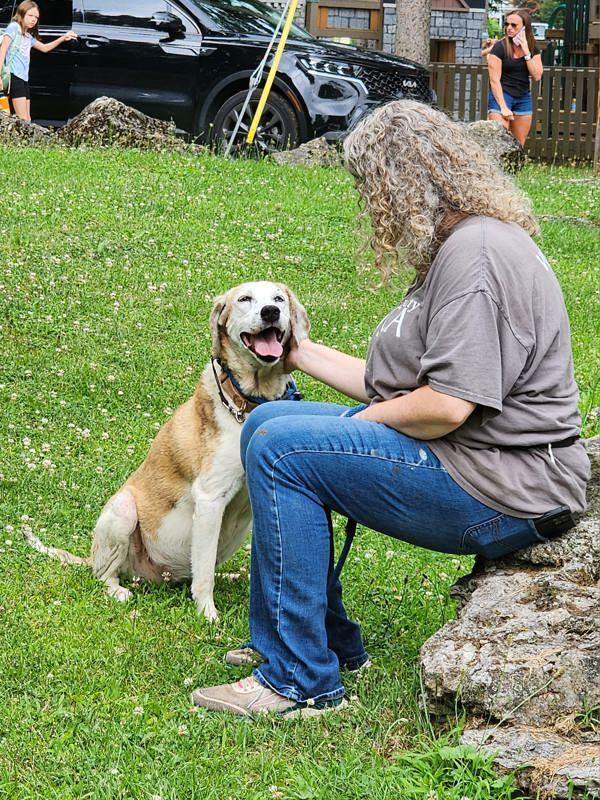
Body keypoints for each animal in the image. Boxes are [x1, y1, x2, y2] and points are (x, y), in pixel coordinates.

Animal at [25, 282, 310, 620]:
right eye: (244, 299)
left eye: (278, 298)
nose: (271, 312)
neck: (251, 400)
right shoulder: (210, 498)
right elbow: (204, 575)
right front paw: (208, 615)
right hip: (123, 511)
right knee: (105, 574)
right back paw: (117, 590)